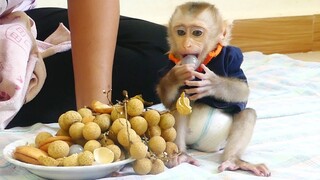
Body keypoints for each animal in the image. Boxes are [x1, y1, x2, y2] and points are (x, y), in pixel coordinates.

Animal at [156, 1, 272, 176]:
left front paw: (213, 84)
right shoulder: (169, 63)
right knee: (180, 103)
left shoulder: (233, 56)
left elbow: (242, 89)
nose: (186, 44)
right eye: (181, 32)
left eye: (197, 33)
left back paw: (234, 161)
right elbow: (169, 100)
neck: (205, 60)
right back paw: (181, 155)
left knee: (247, 114)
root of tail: (201, 146)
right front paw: (176, 76)